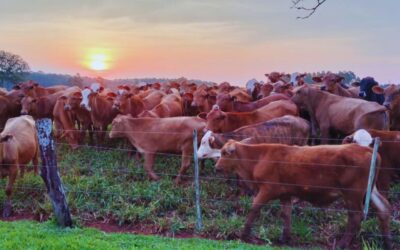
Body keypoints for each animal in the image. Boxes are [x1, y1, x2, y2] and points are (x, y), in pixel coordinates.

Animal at [216, 142, 390, 249]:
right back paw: (387, 243)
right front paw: (284, 238)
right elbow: (286, 215)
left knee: (355, 216)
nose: (216, 167)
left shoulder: (267, 190)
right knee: (383, 209)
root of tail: (366, 149)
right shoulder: (285, 194)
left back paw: (342, 244)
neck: (259, 157)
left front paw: (244, 235)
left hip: (352, 194)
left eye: (224, 153)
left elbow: (254, 209)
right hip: (370, 190)